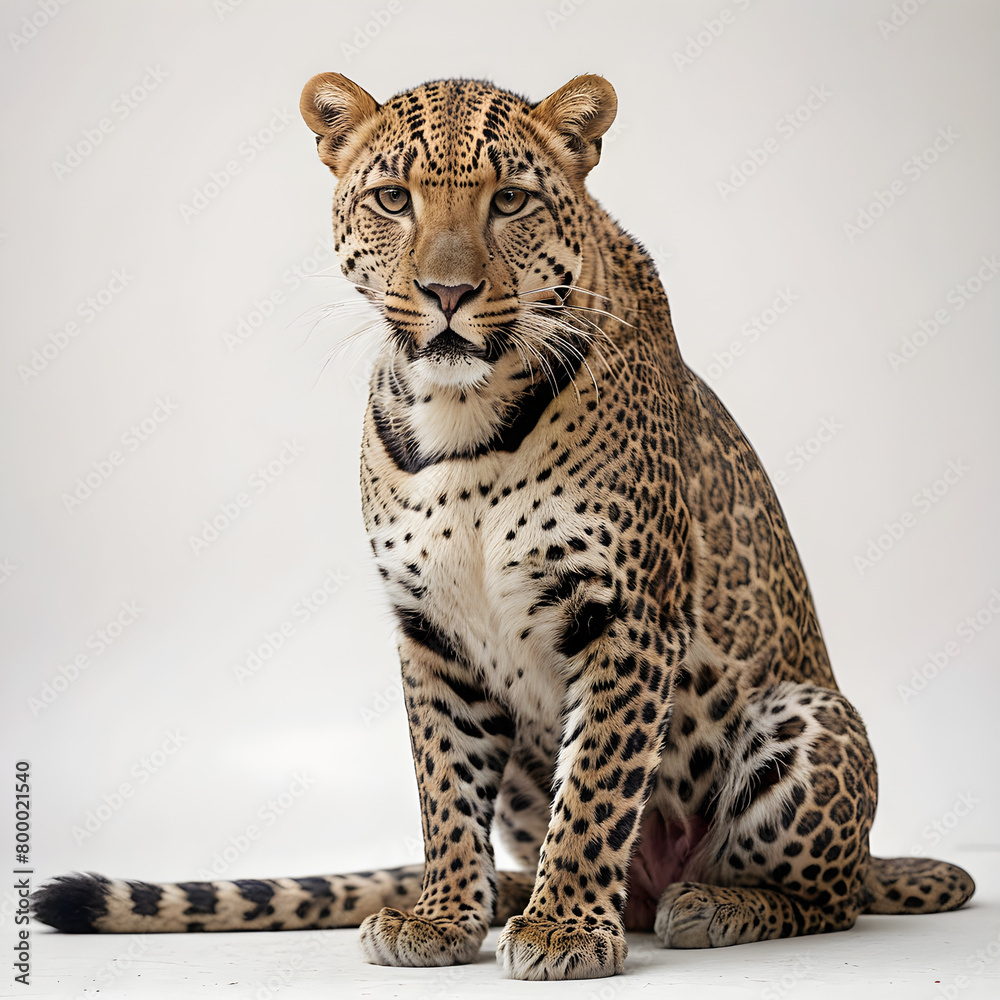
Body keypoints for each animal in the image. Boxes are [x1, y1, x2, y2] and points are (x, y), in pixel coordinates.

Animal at [33, 72, 974, 982]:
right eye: (394, 198)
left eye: (511, 201)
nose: (447, 292)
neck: (464, 419)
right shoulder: (431, 630)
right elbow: (444, 788)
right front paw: (443, 915)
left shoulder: (626, 617)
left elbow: (596, 786)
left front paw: (565, 929)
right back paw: (521, 900)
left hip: (808, 718)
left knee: (830, 898)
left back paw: (716, 904)